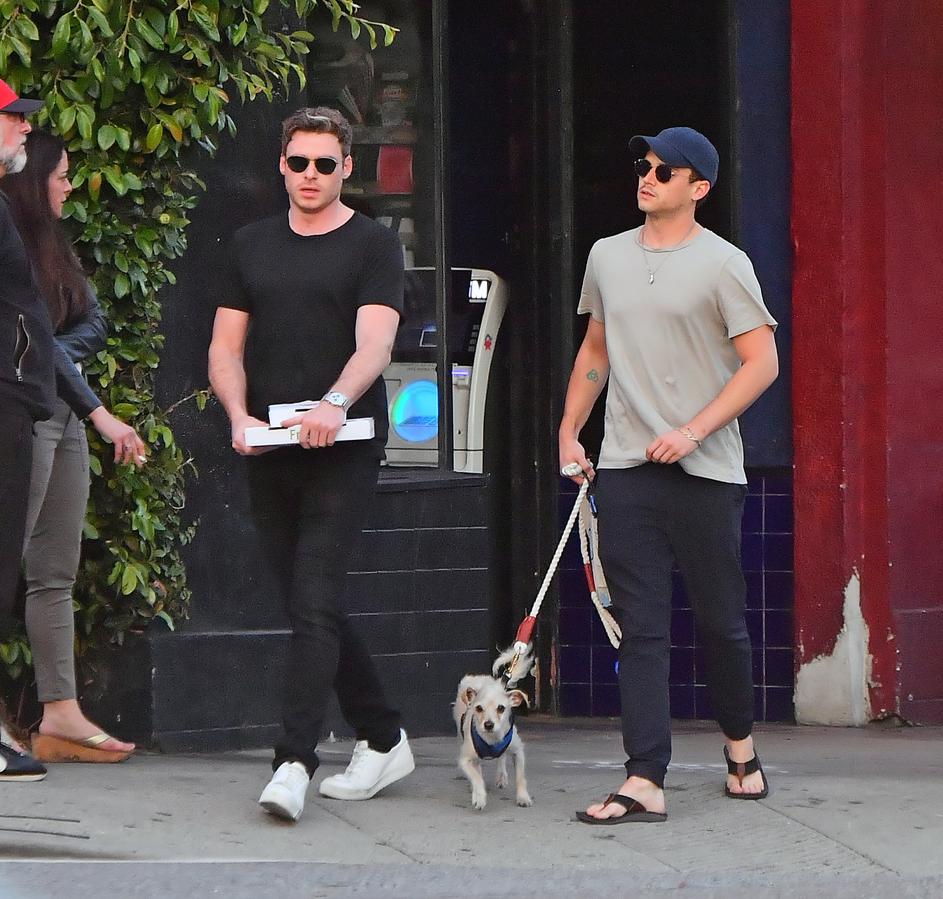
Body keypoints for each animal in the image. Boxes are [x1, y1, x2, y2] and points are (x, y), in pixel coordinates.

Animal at [452, 646, 534, 811]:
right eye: (478, 708)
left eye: (501, 708)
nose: (488, 724)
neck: (491, 739)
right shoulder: (465, 759)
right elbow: (476, 777)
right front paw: (479, 796)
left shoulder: (518, 752)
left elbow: (520, 777)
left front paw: (523, 797)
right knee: (478, 766)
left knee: (501, 758)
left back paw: (501, 776)